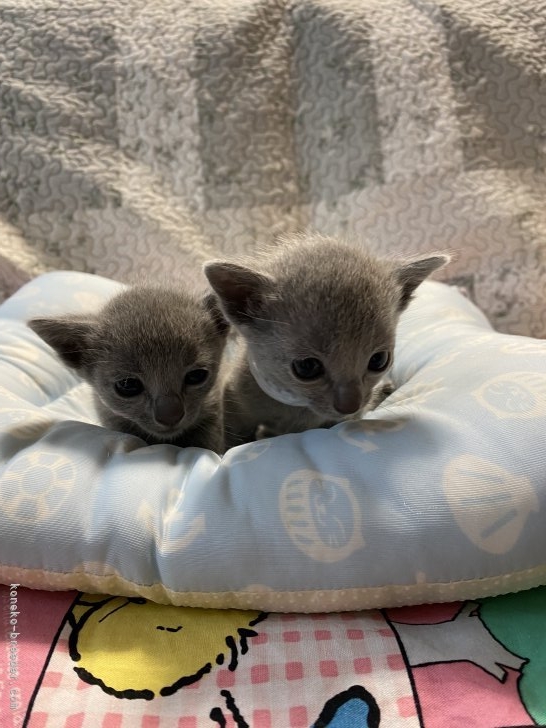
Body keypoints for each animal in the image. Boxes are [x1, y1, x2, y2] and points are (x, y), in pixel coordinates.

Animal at [204, 232, 450, 448]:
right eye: (307, 367)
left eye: (379, 360)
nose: (350, 405)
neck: (297, 410)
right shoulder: (234, 398)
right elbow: (233, 440)